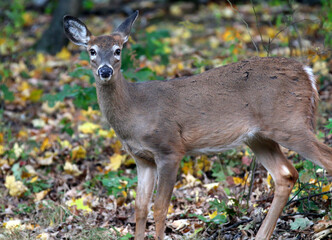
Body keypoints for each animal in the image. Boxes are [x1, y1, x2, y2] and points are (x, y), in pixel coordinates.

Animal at [63, 10, 330, 240]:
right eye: (92, 51)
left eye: (118, 50)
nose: (105, 70)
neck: (135, 111)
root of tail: (307, 72)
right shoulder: (142, 158)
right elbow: (140, 207)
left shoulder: (170, 148)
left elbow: (160, 208)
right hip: (259, 137)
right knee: (286, 174)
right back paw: (261, 235)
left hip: (290, 123)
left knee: (323, 159)